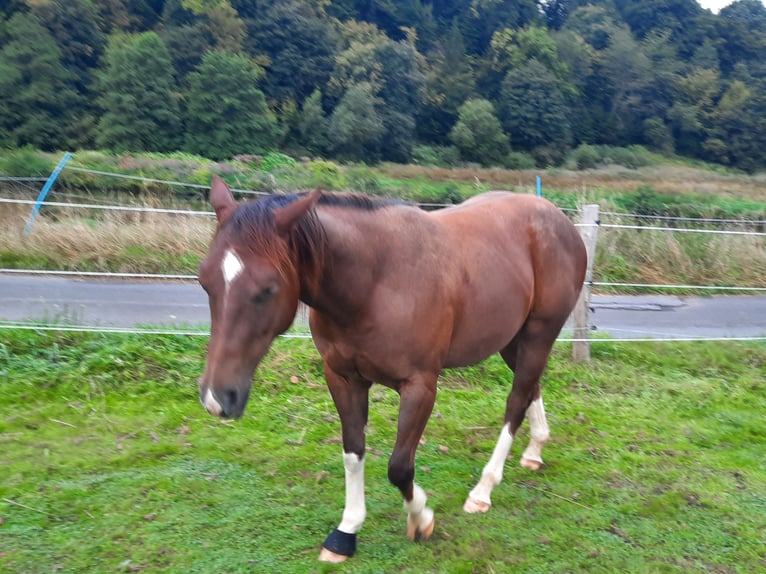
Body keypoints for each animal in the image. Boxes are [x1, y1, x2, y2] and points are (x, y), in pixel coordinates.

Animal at [197, 175, 587, 562]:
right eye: (205, 281)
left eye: (268, 288)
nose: (218, 398)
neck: (375, 282)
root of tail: (555, 217)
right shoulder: (343, 379)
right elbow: (353, 452)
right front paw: (346, 531)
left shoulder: (420, 387)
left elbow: (399, 467)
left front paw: (422, 519)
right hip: (511, 339)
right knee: (531, 387)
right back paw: (534, 451)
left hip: (539, 334)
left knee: (516, 399)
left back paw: (483, 489)